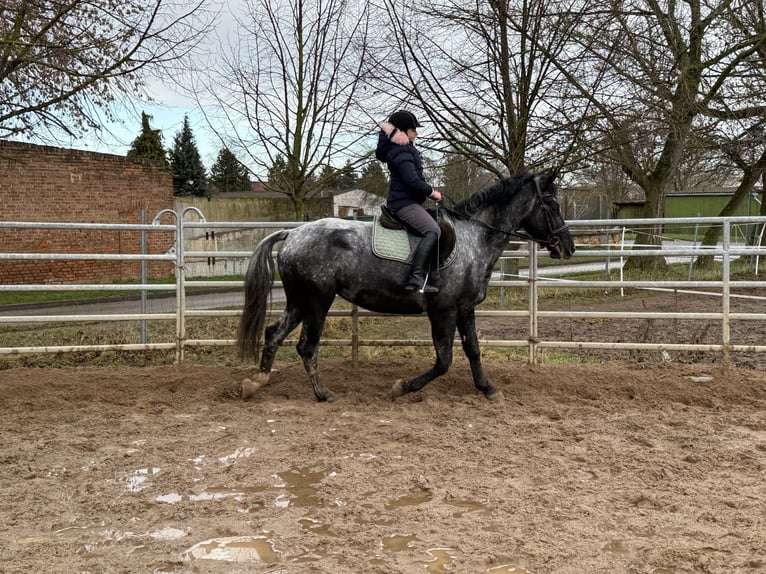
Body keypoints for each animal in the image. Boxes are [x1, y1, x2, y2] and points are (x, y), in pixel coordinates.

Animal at [238, 171, 576, 404]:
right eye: (552, 203)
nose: (568, 247)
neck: (475, 237)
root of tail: (293, 233)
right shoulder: (443, 311)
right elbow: (444, 360)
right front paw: (402, 387)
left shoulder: (465, 308)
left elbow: (473, 349)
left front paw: (487, 388)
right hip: (317, 302)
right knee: (306, 347)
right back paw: (323, 394)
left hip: (300, 301)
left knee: (274, 335)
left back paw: (256, 382)